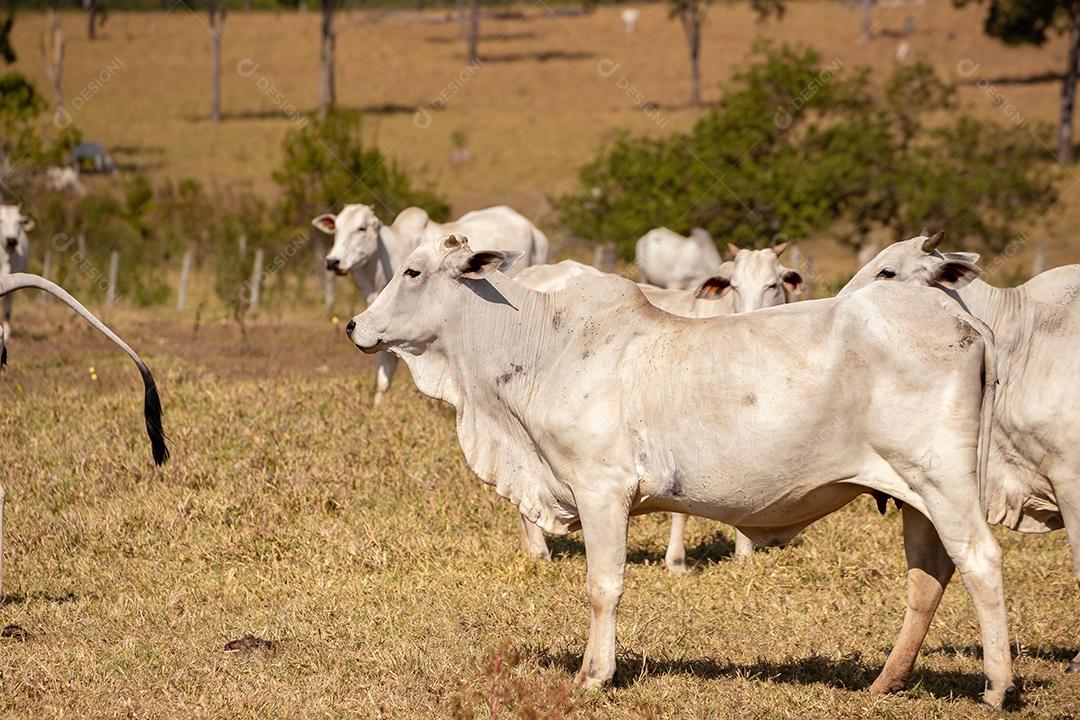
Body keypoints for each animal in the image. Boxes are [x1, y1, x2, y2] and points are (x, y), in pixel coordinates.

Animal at [343, 236, 1010, 708]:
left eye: (412, 272)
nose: (353, 325)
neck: (541, 344)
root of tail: (969, 326)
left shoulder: (601, 491)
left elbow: (603, 586)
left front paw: (594, 675)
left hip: (943, 482)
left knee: (979, 561)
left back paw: (997, 686)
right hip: (914, 495)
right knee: (928, 576)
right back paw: (886, 681)